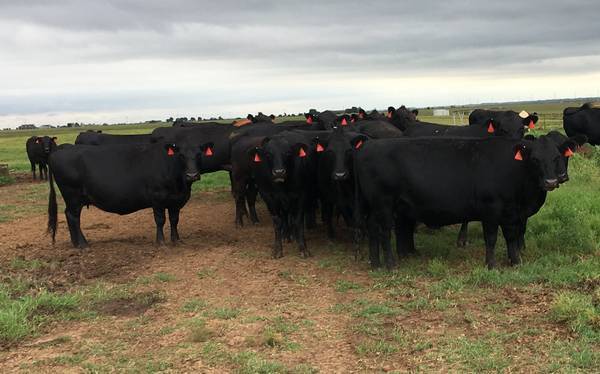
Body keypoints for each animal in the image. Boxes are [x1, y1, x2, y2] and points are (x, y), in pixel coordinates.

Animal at [356, 136, 572, 270]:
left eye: (557, 157)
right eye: (535, 159)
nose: (551, 181)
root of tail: (368, 145)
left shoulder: (512, 213)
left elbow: (512, 237)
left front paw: (515, 261)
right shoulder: (491, 209)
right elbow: (491, 238)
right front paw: (491, 265)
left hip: (375, 207)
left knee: (372, 227)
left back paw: (375, 263)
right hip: (384, 204)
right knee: (384, 232)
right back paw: (390, 264)